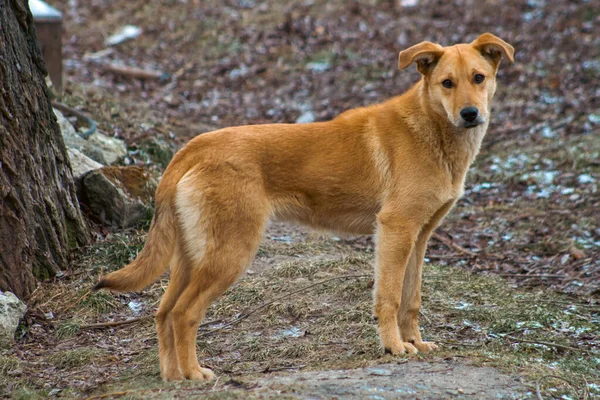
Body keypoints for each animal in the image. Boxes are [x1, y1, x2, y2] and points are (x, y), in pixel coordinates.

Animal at [95, 33, 516, 382]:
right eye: (447, 83)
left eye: (479, 78)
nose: (470, 114)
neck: (431, 129)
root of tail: (193, 147)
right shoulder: (395, 229)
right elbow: (390, 296)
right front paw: (394, 347)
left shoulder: (420, 236)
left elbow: (411, 299)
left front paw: (415, 343)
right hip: (229, 254)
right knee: (184, 313)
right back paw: (195, 374)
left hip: (191, 256)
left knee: (164, 312)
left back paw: (173, 376)